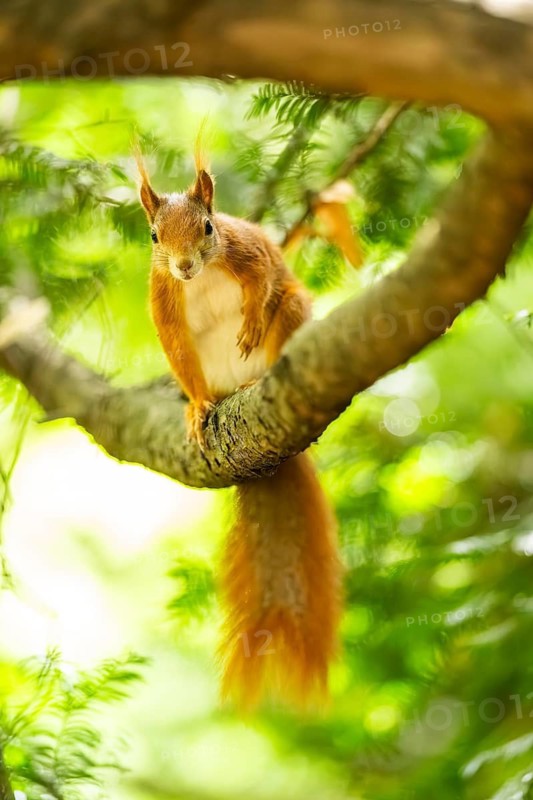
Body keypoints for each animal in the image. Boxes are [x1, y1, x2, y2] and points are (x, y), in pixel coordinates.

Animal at [136, 143, 342, 709]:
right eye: (155, 236)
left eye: (208, 227)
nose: (184, 266)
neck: (203, 277)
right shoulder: (164, 300)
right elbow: (177, 352)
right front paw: (196, 408)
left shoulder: (248, 252)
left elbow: (264, 277)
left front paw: (249, 324)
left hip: (292, 313)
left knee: (283, 305)